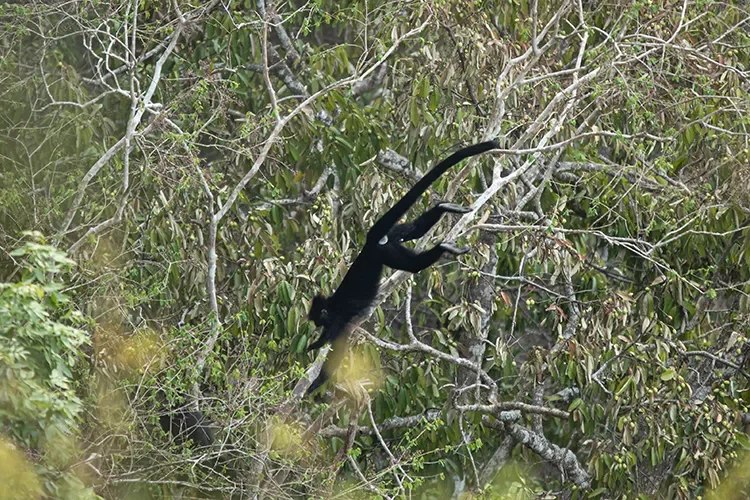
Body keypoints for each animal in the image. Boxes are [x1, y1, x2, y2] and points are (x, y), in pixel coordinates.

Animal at [306, 140, 499, 394]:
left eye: (317, 319)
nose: (315, 325)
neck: (331, 304)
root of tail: (370, 244)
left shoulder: (338, 322)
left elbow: (334, 352)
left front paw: (314, 378)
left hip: (387, 252)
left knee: (414, 265)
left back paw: (444, 245)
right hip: (391, 240)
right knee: (413, 231)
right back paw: (443, 208)